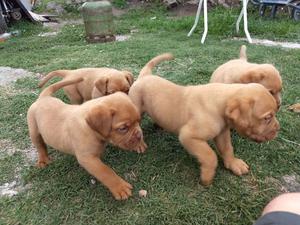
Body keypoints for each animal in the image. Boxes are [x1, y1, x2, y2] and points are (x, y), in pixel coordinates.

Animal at [130, 53, 280, 186]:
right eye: (267, 118)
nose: (278, 128)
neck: (220, 102)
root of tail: (145, 75)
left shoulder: (222, 133)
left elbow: (227, 148)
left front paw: (233, 163)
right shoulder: (189, 137)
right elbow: (210, 156)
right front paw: (207, 177)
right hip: (136, 108)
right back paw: (138, 144)